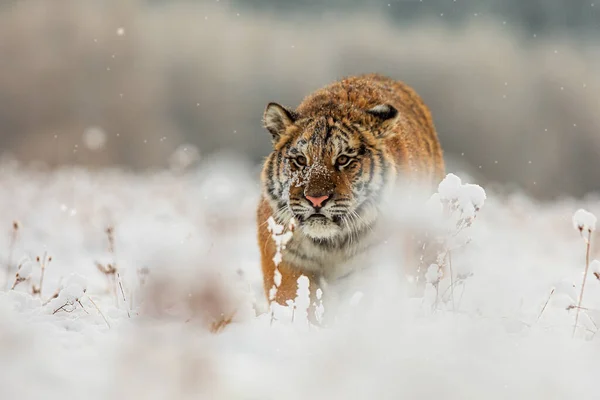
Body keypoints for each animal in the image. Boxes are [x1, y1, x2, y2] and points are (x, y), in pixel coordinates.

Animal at [255, 72, 442, 316]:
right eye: (301, 160)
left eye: (343, 159)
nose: (316, 199)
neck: (330, 244)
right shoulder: (285, 257)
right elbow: (292, 300)